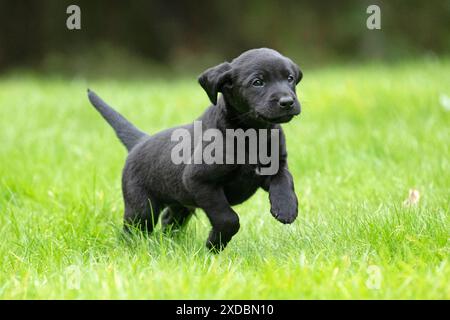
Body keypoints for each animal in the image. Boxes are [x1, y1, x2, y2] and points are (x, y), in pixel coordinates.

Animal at [88, 47, 302, 252]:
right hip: (142, 207)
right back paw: (131, 248)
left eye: (289, 78)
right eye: (257, 82)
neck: (252, 133)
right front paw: (214, 244)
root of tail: (141, 141)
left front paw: (286, 207)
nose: (287, 102)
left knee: (168, 219)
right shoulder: (198, 181)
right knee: (133, 230)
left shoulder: (274, 166)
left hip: (180, 203)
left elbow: (285, 180)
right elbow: (228, 218)